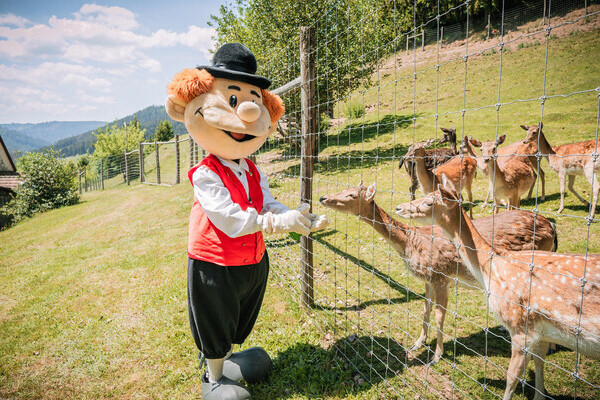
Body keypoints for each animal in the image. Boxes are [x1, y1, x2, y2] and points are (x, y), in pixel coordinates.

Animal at [318, 184, 556, 366]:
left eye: (351, 195)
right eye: (344, 188)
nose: (322, 197)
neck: (409, 244)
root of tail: (553, 227)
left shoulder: (441, 276)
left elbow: (439, 316)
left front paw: (436, 356)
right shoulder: (428, 279)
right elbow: (425, 309)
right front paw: (417, 343)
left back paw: (552, 346)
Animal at [394, 177, 600, 400]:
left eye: (429, 202)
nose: (398, 207)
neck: (493, 268)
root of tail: (552, 226)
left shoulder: (521, 329)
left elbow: (512, 376)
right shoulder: (540, 331)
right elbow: (538, 363)